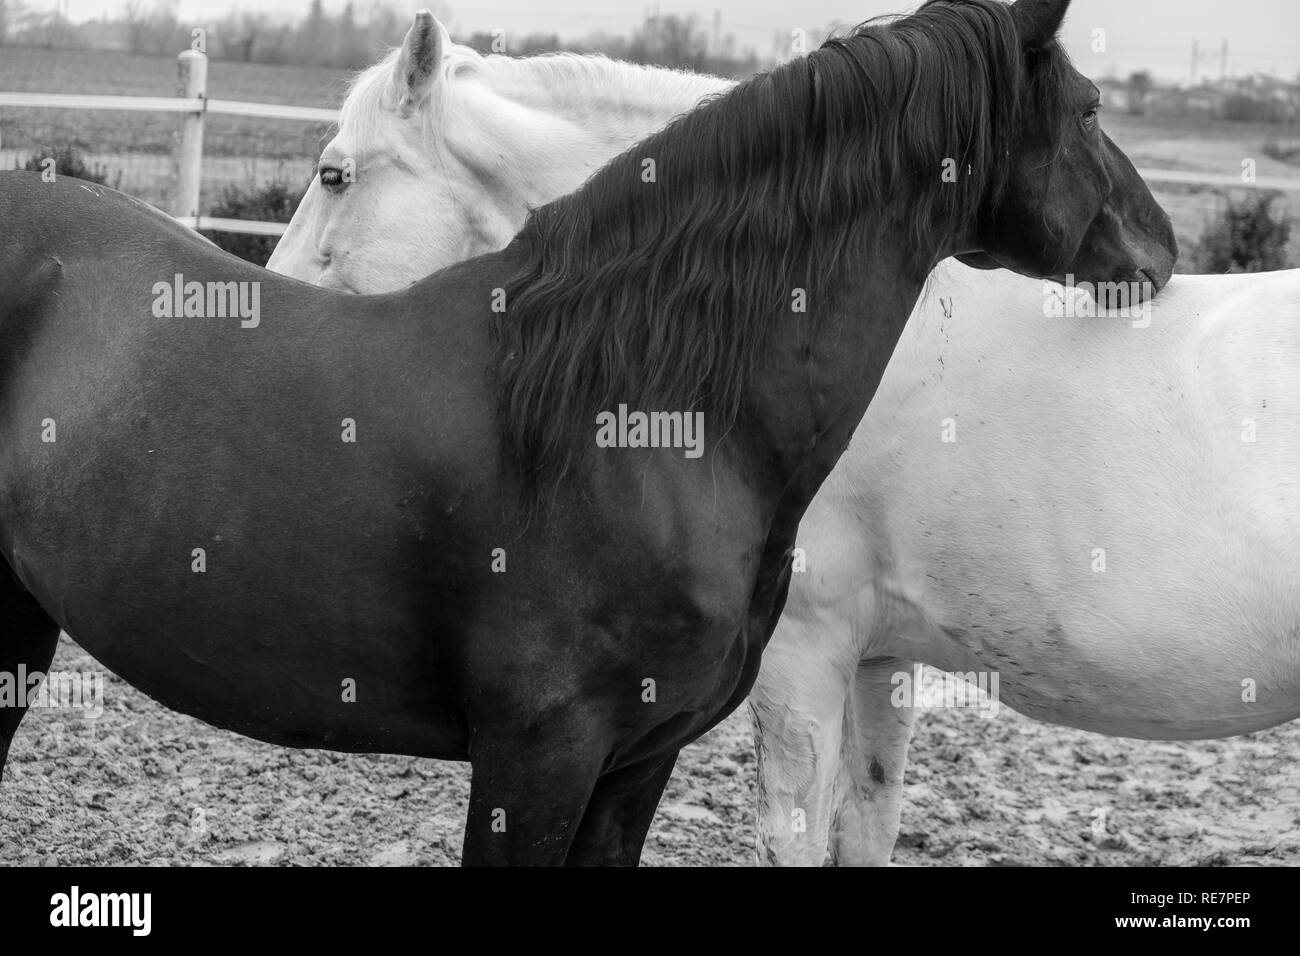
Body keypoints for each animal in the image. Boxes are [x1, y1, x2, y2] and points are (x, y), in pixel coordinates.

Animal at [0, 0, 1176, 865]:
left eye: (337, 174)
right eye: (1086, 109)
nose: (1159, 247)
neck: (635, 420)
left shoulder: (634, 764)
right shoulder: (537, 759)